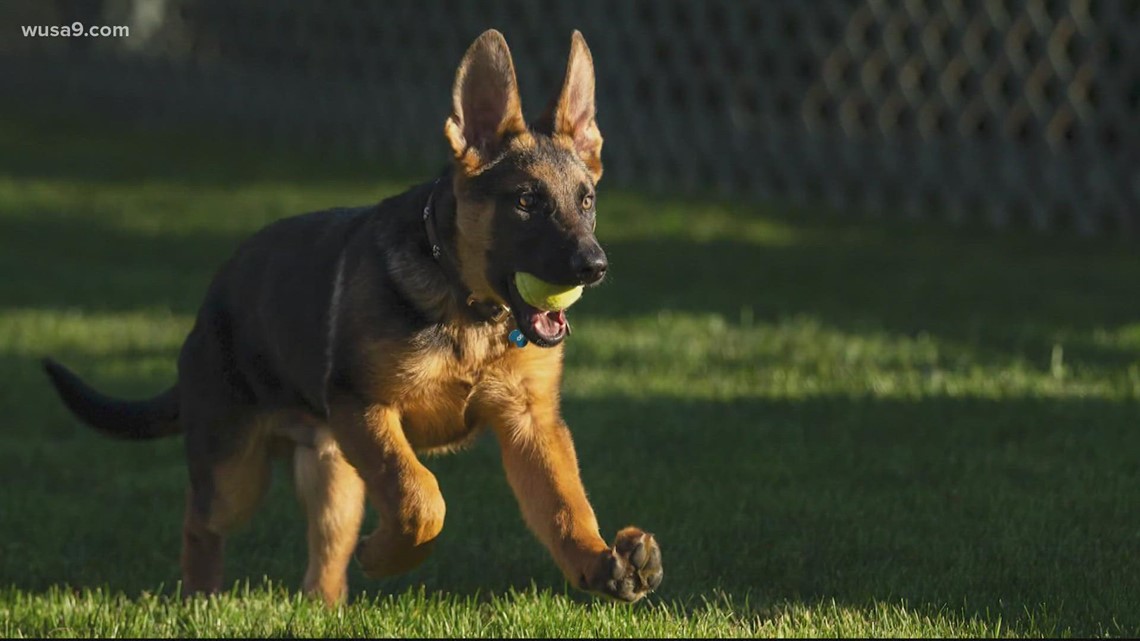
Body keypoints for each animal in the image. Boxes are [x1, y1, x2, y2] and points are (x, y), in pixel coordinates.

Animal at [44, 27, 665, 602]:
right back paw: (201, 597)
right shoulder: (366, 406)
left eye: (586, 201)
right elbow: (422, 496)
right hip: (236, 471)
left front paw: (600, 562)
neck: (468, 309)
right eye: (526, 201)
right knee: (201, 521)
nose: (594, 266)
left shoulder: (530, 423)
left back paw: (324, 607)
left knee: (324, 554)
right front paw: (387, 557)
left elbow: (564, 504)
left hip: (333, 473)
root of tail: (209, 304)